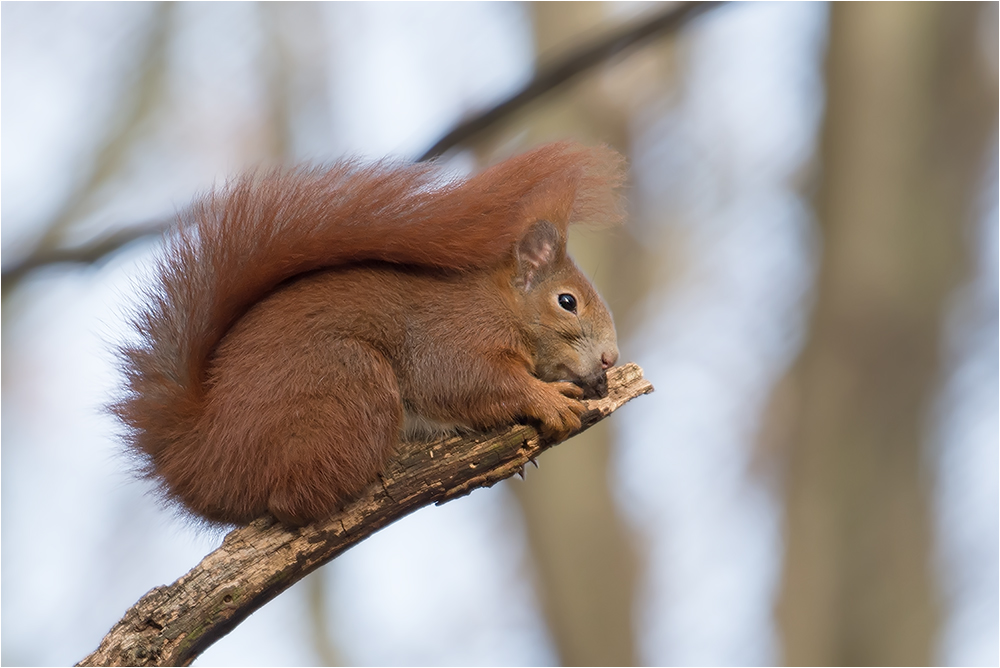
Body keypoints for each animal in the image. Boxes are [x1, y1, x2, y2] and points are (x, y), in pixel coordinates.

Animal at [115, 142, 624, 528]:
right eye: (567, 301)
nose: (610, 360)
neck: (501, 305)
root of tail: (200, 457)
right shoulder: (450, 337)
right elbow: (468, 381)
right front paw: (547, 398)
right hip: (348, 380)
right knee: (290, 502)